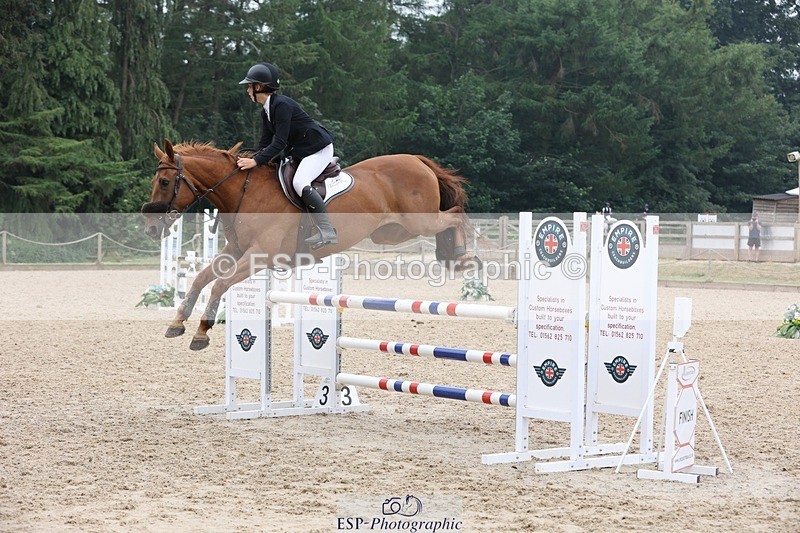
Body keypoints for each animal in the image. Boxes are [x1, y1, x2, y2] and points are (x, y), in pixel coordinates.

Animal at [142, 140, 476, 350]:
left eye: (165, 183)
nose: (152, 228)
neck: (245, 192)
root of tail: (416, 159)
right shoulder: (234, 251)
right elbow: (201, 278)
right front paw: (177, 323)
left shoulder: (259, 256)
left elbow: (220, 285)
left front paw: (201, 333)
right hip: (392, 232)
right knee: (446, 218)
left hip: (418, 222)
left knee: (454, 214)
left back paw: (462, 256)